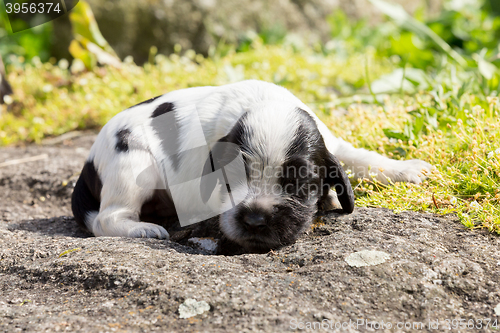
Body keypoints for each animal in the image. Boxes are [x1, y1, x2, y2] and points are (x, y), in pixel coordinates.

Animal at [71, 80, 434, 252]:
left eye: (298, 184)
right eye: (230, 179)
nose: (256, 219)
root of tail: (88, 162)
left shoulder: (330, 142)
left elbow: (360, 157)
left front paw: (405, 169)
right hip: (133, 163)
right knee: (106, 218)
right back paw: (144, 228)